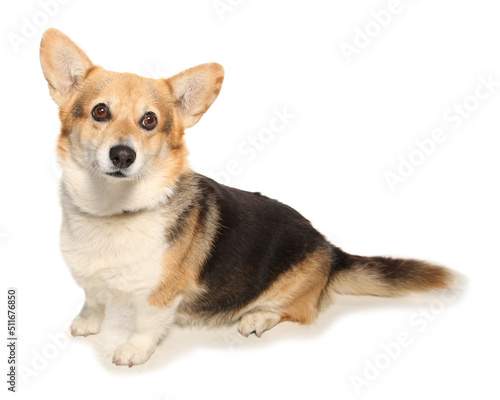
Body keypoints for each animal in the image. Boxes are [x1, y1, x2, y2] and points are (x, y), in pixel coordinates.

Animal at [40, 27, 458, 366]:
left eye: (149, 120)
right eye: (100, 111)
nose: (123, 155)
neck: (113, 210)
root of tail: (332, 251)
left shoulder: (160, 296)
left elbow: (145, 323)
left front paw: (132, 350)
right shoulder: (89, 280)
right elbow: (94, 300)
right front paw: (87, 323)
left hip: (289, 290)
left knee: (297, 311)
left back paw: (257, 317)